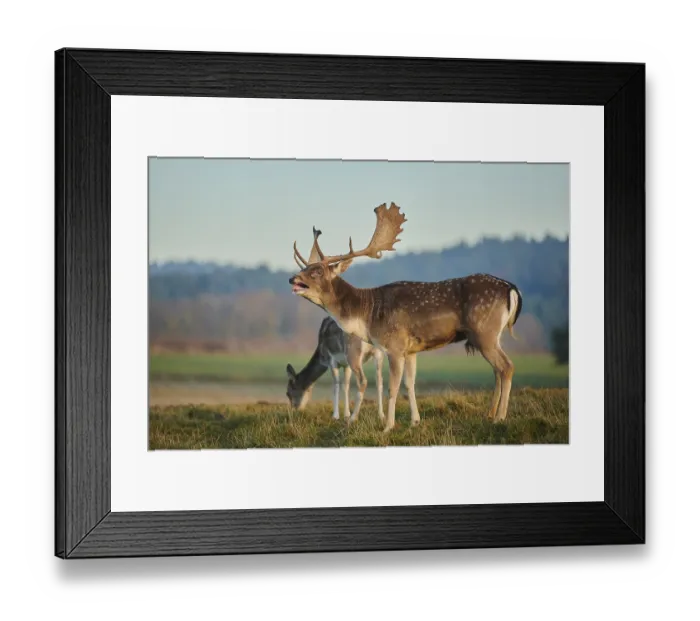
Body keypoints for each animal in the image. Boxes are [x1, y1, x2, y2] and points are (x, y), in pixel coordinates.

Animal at [286, 227, 385, 423]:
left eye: (289, 391)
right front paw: (344, 413)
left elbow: (337, 384)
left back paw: (354, 418)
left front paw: (336, 415)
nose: (295, 409)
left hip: (354, 351)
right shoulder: (344, 363)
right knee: (379, 381)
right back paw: (381, 415)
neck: (319, 349)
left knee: (363, 380)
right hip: (378, 353)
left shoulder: (331, 358)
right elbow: (346, 384)